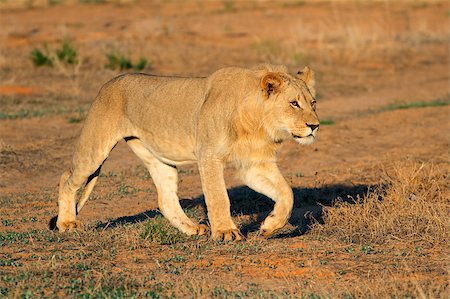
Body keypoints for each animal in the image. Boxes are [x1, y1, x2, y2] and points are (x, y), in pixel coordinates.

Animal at [53, 65, 320, 241]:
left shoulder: (254, 164)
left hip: (158, 158)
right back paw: (66, 223)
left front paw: (270, 226)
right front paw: (226, 232)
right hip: (95, 148)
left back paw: (192, 229)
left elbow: (287, 193)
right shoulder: (209, 156)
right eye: (294, 103)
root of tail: (110, 82)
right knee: (67, 178)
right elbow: (218, 197)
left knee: (166, 200)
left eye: (313, 103)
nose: (315, 126)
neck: (258, 124)